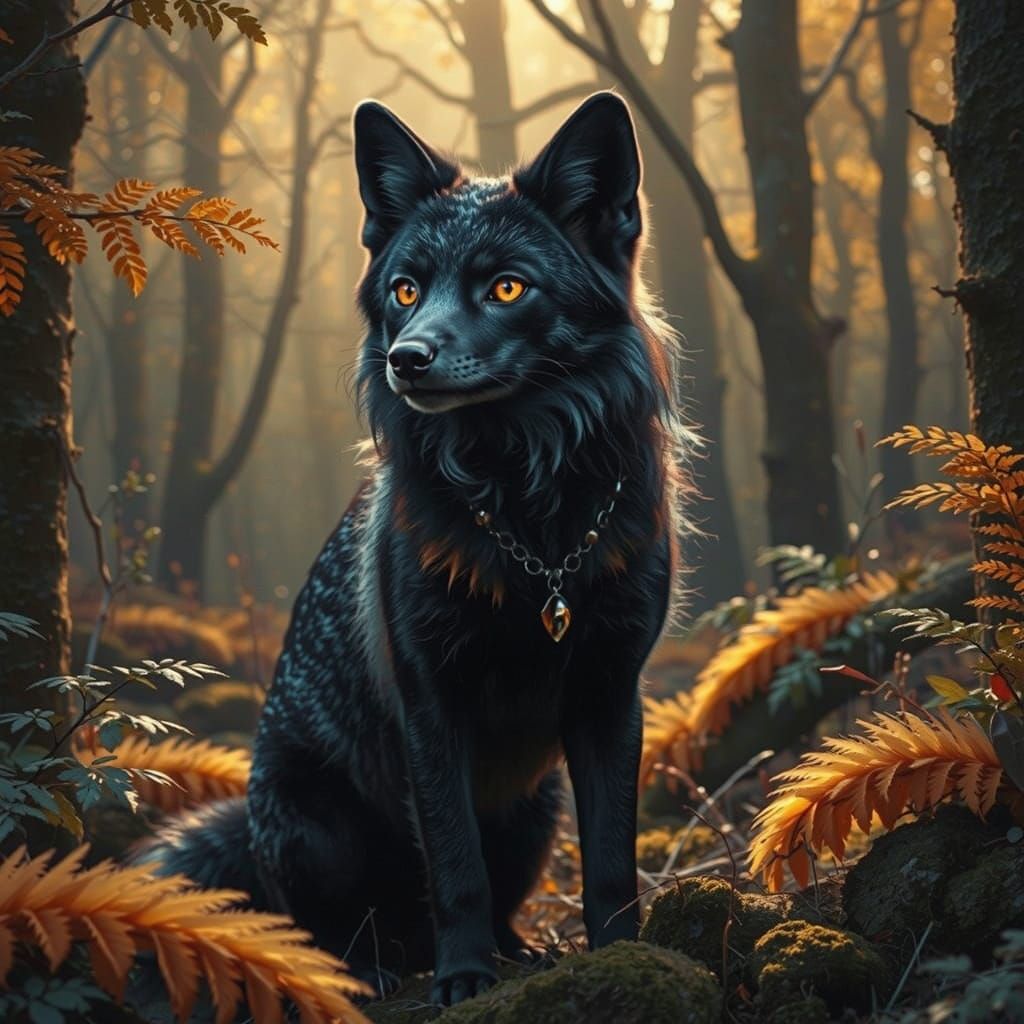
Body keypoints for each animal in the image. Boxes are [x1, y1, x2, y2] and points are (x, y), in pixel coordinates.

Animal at [145, 91, 689, 1006]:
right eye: (405, 290)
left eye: (506, 287)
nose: (408, 359)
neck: (527, 518)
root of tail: (250, 824)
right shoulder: (431, 700)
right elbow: (455, 863)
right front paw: (462, 976)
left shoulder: (612, 693)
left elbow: (611, 861)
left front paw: (622, 958)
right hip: (317, 829)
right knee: (322, 929)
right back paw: (376, 964)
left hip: (536, 806)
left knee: (498, 897)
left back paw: (515, 952)